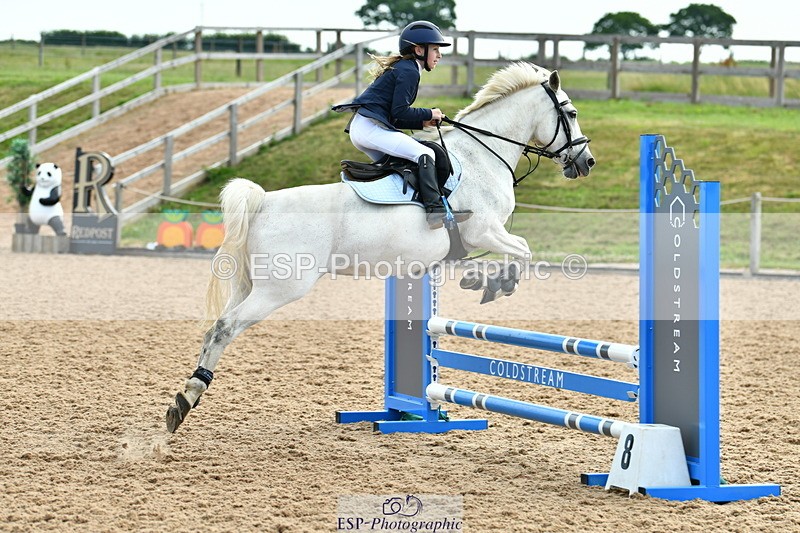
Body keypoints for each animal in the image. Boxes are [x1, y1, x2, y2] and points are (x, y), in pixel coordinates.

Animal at [166, 61, 595, 433]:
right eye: (571, 113)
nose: (587, 162)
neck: (481, 157)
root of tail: (263, 202)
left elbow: (520, 249)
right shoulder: (484, 231)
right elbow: (522, 250)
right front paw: (494, 285)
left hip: (249, 284)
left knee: (215, 328)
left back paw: (183, 399)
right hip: (280, 288)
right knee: (225, 327)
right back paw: (189, 396)